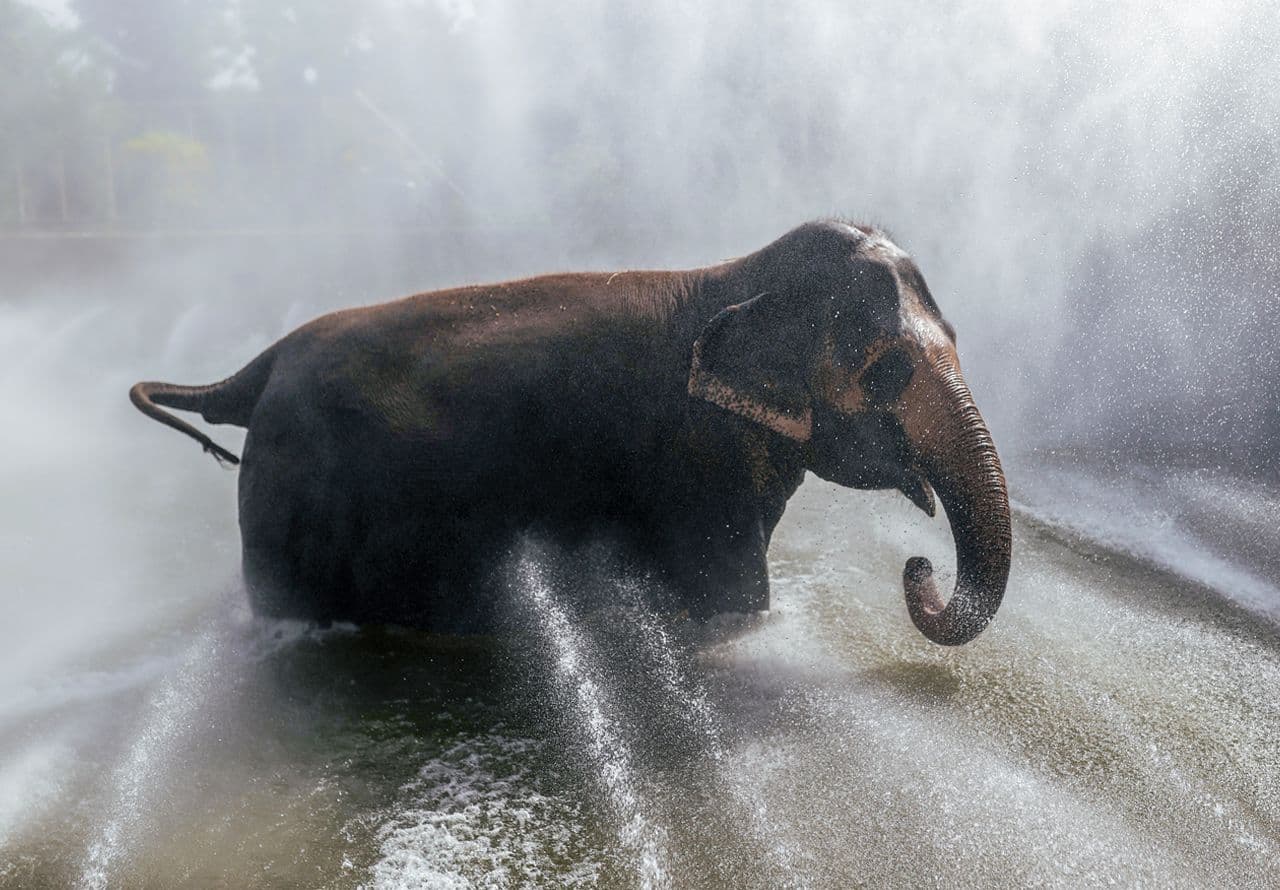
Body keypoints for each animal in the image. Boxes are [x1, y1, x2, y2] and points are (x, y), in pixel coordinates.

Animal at [130, 220, 1011, 644]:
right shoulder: (693, 473)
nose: (918, 569)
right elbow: (734, 603)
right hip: (286, 506)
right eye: (889, 371)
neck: (736, 276)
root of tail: (256, 369)